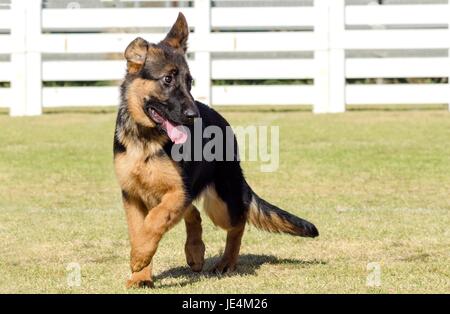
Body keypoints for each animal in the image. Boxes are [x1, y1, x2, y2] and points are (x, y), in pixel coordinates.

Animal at [114, 12, 318, 288]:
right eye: (167, 79)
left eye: (189, 82)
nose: (193, 116)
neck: (147, 139)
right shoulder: (132, 196)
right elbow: (140, 230)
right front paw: (141, 275)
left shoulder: (178, 191)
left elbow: (155, 221)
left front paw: (138, 258)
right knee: (194, 213)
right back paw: (195, 252)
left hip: (220, 204)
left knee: (238, 220)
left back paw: (226, 262)